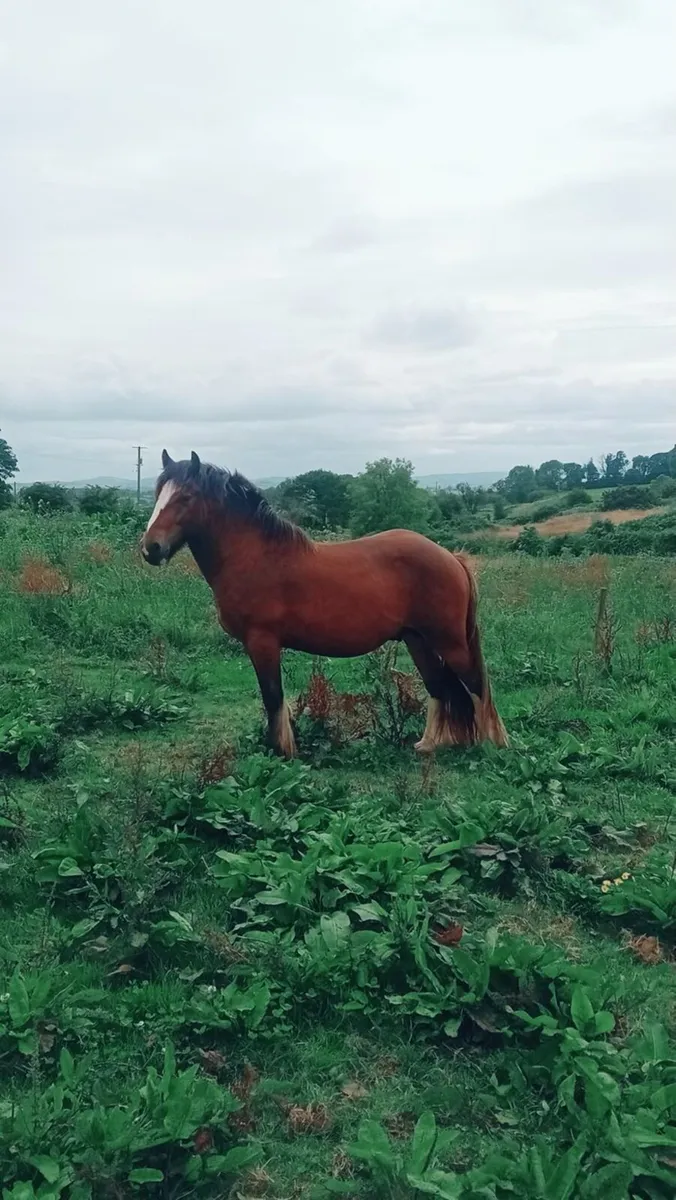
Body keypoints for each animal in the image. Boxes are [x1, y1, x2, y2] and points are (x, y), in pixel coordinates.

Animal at [141, 451, 508, 758]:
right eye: (157, 492)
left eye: (186, 497)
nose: (150, 548)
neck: (256, 556)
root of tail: (451, 557)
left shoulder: (262, 642)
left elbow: (273, 698)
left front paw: (281, 753)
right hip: (418, 640)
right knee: (440, 688)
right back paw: (429, 745)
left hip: (449, 642)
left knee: (475, 685)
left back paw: (491, 745)